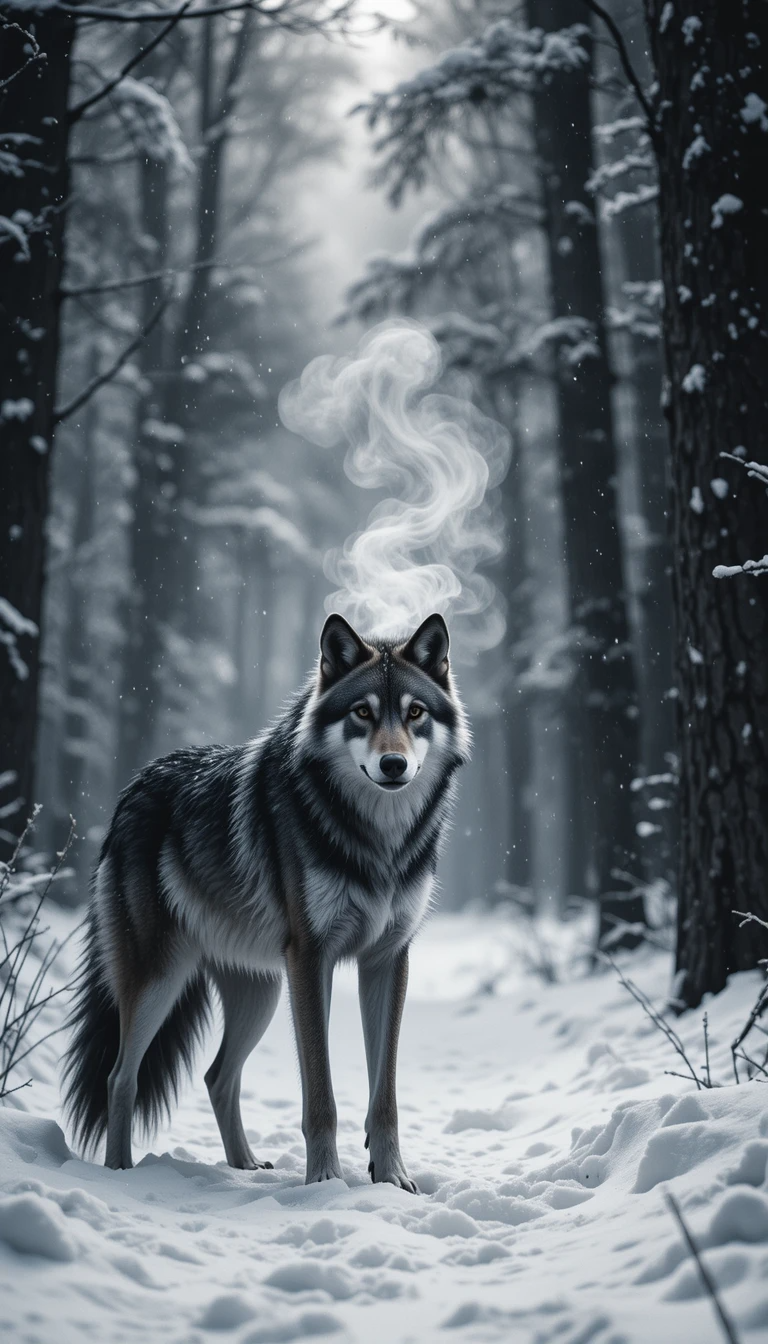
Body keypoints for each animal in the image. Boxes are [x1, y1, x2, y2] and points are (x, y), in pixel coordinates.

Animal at [63, 612, 469, 1190]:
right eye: (362, 712)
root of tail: (130, 789)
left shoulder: (388, 959)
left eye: (415, 713)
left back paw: (244, 1166)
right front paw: (325, 1184)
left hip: (262, 993)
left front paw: (392, 1181)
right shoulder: (311, 958)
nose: (393, 765)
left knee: (217, 1077)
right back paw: (121, 1173)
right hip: (161, 979)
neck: (377, 842)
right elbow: (320, 1094)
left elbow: (384, 1097)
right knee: (121, 1077)